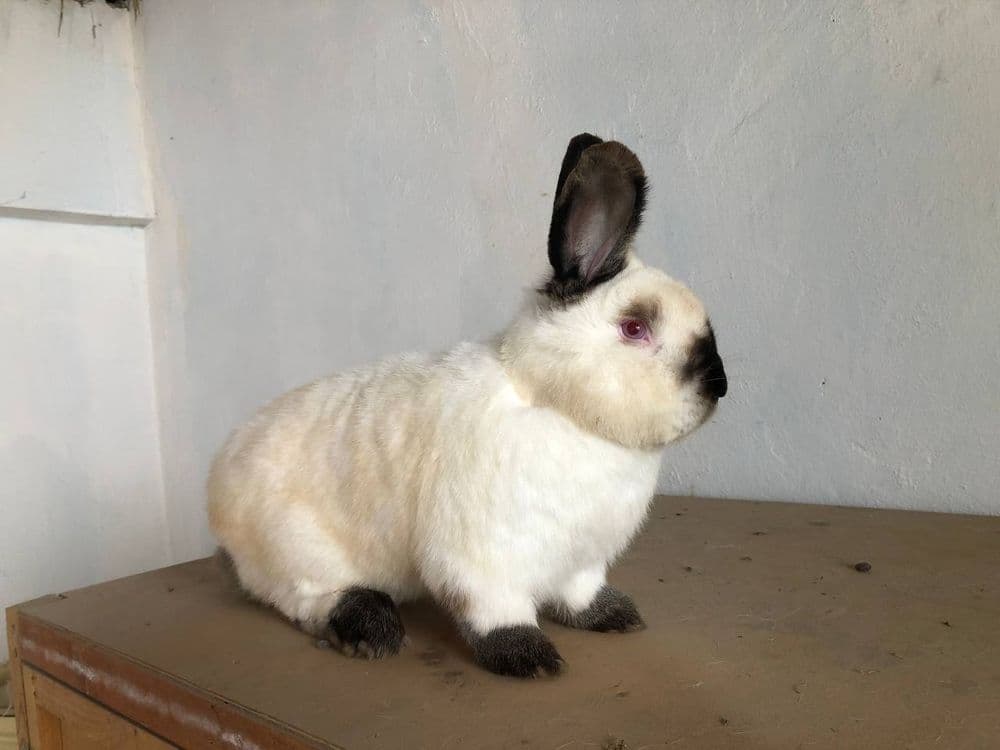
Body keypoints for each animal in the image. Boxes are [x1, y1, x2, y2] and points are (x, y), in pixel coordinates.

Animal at [207, 133, 727, 678]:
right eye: (634, 327)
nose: (721, 385)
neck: (559, 410)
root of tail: (218, 486)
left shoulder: (582, 560)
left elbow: (580, 595)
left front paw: (615, 616)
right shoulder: (480, 558)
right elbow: (494, 609)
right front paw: (529, 657)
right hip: (299, 551)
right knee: (307, 597)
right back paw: (371, 630)